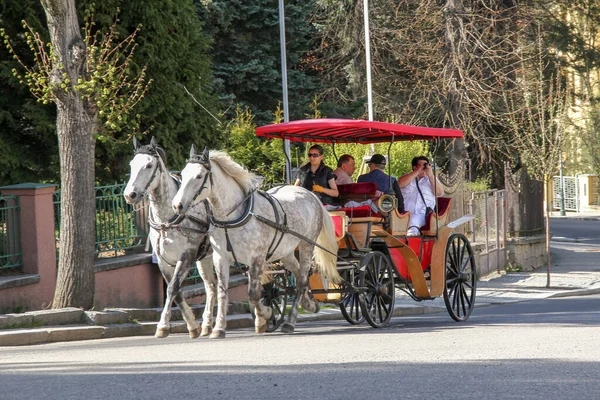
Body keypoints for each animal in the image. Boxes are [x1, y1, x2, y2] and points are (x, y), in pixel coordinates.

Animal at [123, 137, 217, 338]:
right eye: (132, 164)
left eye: (149, 165)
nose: (129, 194)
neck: (167, 219)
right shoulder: (163, 261)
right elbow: (176, 291)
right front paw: (193, 325)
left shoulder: (186, 256)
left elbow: (173, 288)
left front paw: (163, 325)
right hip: (205, 257)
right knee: (211, 286)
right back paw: (207, 325)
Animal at [173, 147, 340, 338]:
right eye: (183, 174)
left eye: (199, 176)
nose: (177, 205)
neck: (232, 216)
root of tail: (311, 195)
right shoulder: (220, 258)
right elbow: (223, 292)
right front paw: (219, 328)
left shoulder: (257, 258)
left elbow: (253, 293)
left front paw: (264, 316)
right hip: (286, 252)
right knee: (299, 275)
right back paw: (309, 303)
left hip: (307, 245)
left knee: (302, 280)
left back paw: (290, 322)